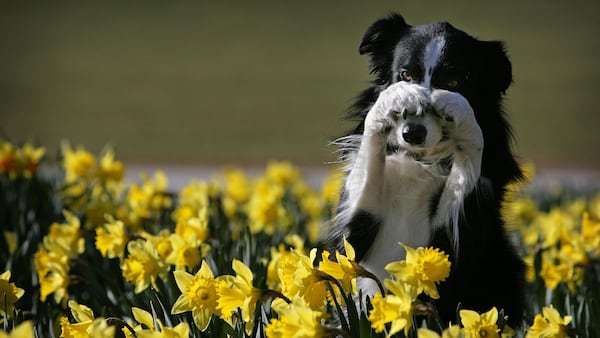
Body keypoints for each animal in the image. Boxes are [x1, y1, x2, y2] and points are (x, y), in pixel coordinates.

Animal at [328, 13, 524, 328]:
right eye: (406, 75)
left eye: (455, 81)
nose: (412, 134)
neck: (422, 159)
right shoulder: (356, 232)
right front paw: (390, 101)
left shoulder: (456, 243)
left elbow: (469, 161)